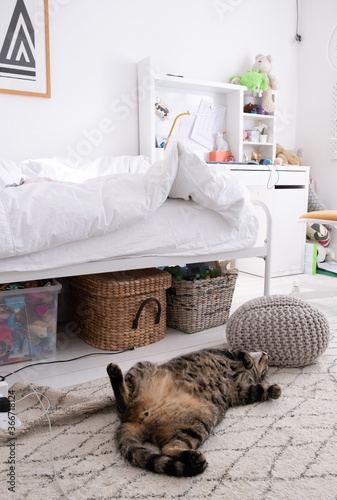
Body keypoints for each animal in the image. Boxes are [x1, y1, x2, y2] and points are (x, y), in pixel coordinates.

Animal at [106, 348, 280, 476]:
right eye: (266, 366)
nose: (268, 354)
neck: (245, 372)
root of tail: (136, 420)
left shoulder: (240, 391)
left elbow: (258, 390)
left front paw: (273, 390)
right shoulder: (225, 353)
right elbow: (239, 351)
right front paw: (248, 360)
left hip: (198, 425)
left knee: (168, 448)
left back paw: (194, 458)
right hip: (141, 366)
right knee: (123, 404)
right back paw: (115, 373)